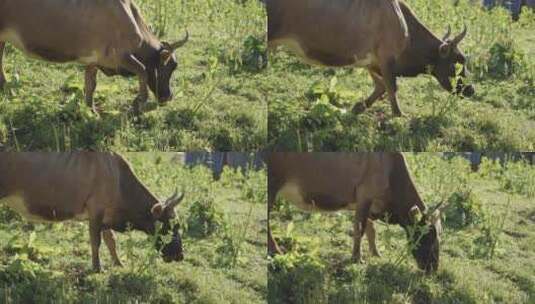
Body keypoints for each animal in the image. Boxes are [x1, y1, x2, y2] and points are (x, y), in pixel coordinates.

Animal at [0, 0, 188, 114]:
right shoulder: (120, 56)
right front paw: (137, 103)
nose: (168, 96)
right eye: (171, 66)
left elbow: (91, 84)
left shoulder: (94, 60)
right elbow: (142, 70)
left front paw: (91, 111)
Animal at [0, 153, 186, 272]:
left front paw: (118, 263)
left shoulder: (106, 216)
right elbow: (96, 242)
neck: (119, 182)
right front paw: (97, 268)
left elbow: (111, 241)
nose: (179, 255)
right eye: (169, 225)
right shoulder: (95, 212)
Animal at [266, 0, 474, 116]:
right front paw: (398, 114)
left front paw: (358, 107)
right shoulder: (386, 56)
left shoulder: (372, 60)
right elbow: (391, 86)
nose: (471, 89)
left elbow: (380, 86)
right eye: (459, 61)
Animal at [268, 152, 448, 274]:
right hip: (273, 183)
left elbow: (371, 230)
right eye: (427, 235)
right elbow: (359, 229)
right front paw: (357, 258)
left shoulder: (367, 203)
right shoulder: (365, 196)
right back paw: (276, 250)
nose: (433, 269)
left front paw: (376, 254)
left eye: (440, 234)